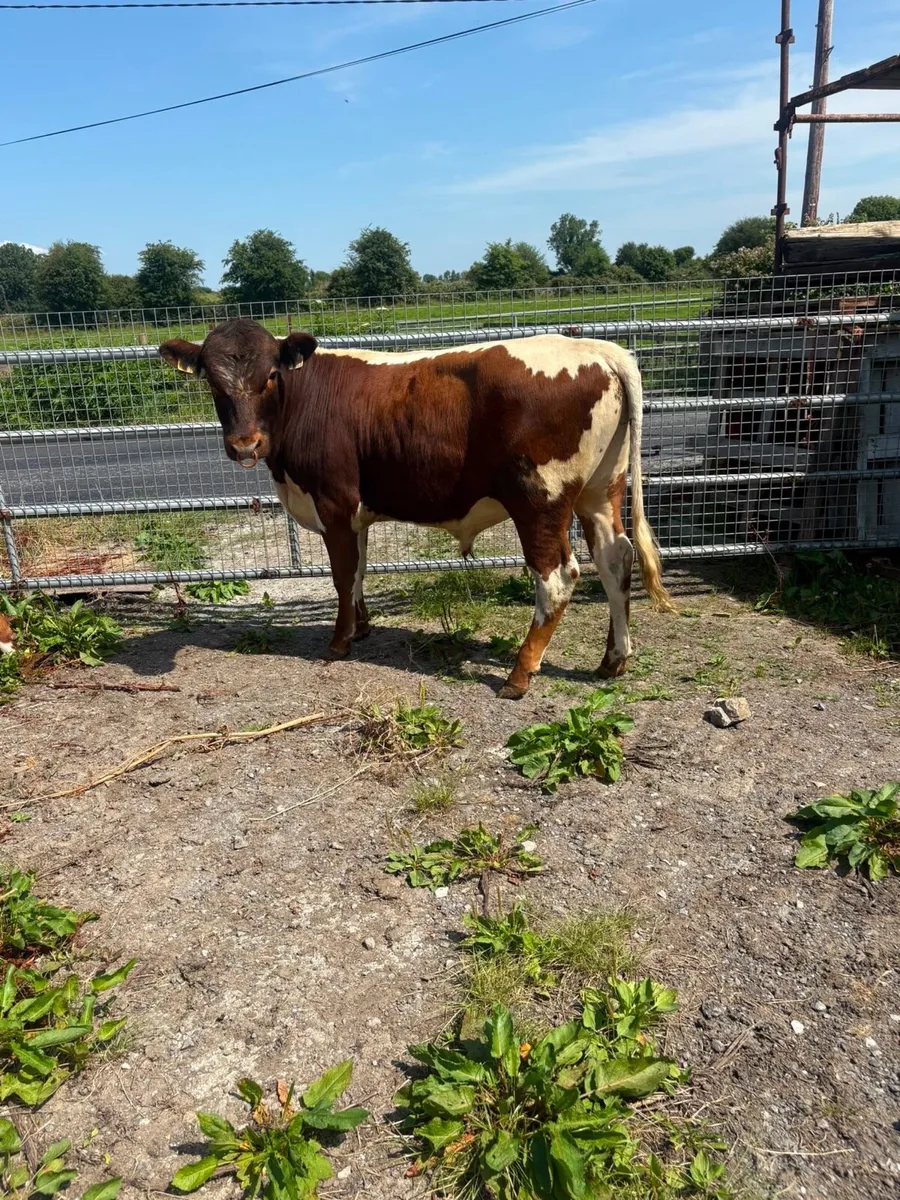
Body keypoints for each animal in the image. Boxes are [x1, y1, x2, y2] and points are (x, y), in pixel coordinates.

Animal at [160, 319, 673, 698]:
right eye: (212, 381)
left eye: (270, 375)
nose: (244, 444)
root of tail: (595, 348)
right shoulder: (357, 512)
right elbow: (360, 570)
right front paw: (362, 627)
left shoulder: (334, 502)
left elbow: (342, 575)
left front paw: (339, 641)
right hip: (600, 491)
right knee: (615, 558)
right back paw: (613, 659)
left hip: (539, 499)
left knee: (558, 576)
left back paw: (519, 674)